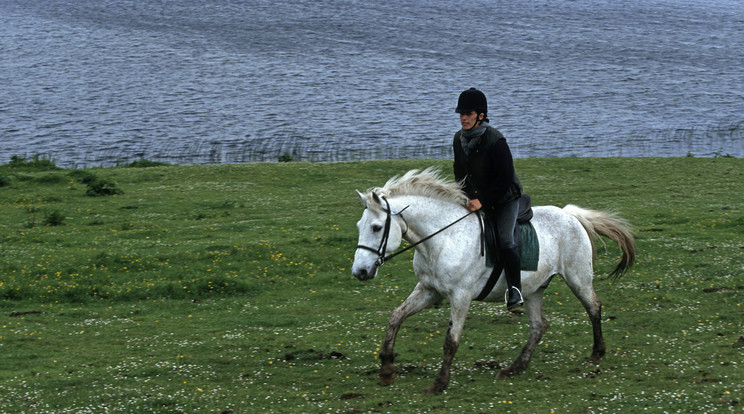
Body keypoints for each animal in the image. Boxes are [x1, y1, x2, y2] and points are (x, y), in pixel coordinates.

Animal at [348, 168, 632, 394]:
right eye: (360, 225)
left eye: (376, 227)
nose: (359, 271)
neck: (443, 239)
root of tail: (570, 215)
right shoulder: (429, 291)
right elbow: (395, 317)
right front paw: (386, 368)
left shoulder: (460, 296)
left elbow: (451, 340)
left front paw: (439, 383)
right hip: (533, 289)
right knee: (539, 326)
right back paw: (515, 367)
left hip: (577, 278)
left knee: (593, 307)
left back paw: (596, 354)